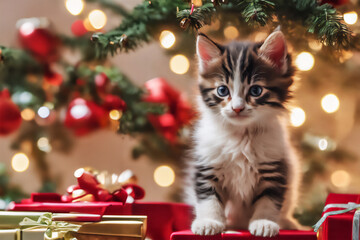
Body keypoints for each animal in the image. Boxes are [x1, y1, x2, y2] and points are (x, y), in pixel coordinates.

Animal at [188, 29, 300, 237]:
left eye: (255, 90)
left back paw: (288, 223)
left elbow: (269, 200)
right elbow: (208, 198)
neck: (241, 135)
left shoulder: (274, 166)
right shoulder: (208, 164)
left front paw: (264, 223)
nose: (237, 108)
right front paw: (209, 222)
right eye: (222, 90)